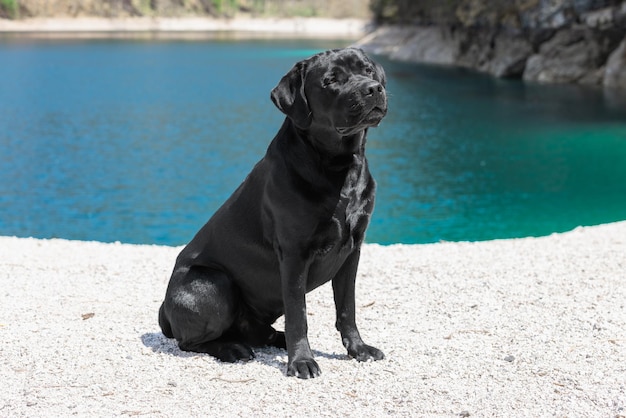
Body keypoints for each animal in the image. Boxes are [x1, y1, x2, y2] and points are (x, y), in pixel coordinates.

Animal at [157, 46, 386, 378]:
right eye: (330, 81)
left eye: (367, 70)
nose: (373, 89)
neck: (340, 167)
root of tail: (163, 308)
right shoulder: (294, 253)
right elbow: (298, 314)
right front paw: (302, 361)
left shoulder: (352, 250)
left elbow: (347, 307)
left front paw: (359, 349)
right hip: (214, 284)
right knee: (190, 341)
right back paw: (233, 349)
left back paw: (272, 338)